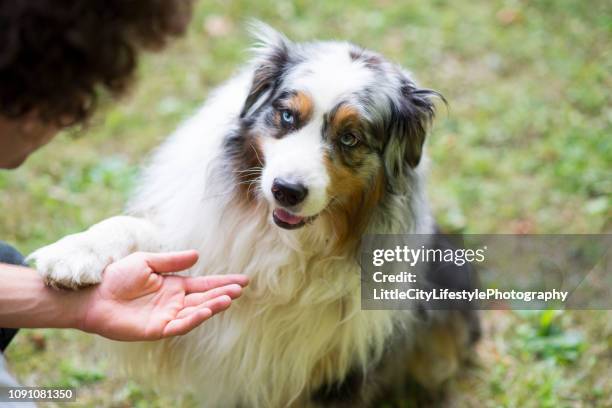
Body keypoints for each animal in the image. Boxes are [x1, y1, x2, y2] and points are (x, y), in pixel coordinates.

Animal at [28, 23, 480, 406]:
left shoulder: (340, 369)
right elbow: (130, 228)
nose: (287, 191)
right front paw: (74, 254)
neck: (282, 239)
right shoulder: (205, 244)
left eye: (350, 137)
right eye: (287, 116)